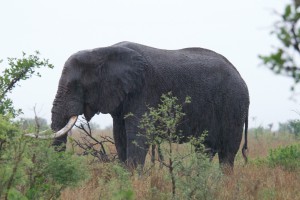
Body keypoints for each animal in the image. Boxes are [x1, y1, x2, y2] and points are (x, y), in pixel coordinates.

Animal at [41, 41, 251, 170]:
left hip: (233, 104)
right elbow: (120, 137)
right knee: (205, 150)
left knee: (227, 153)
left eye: (75, 85)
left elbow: (137, 136)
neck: (102, 51)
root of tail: (241, 77)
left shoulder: (144, 90)